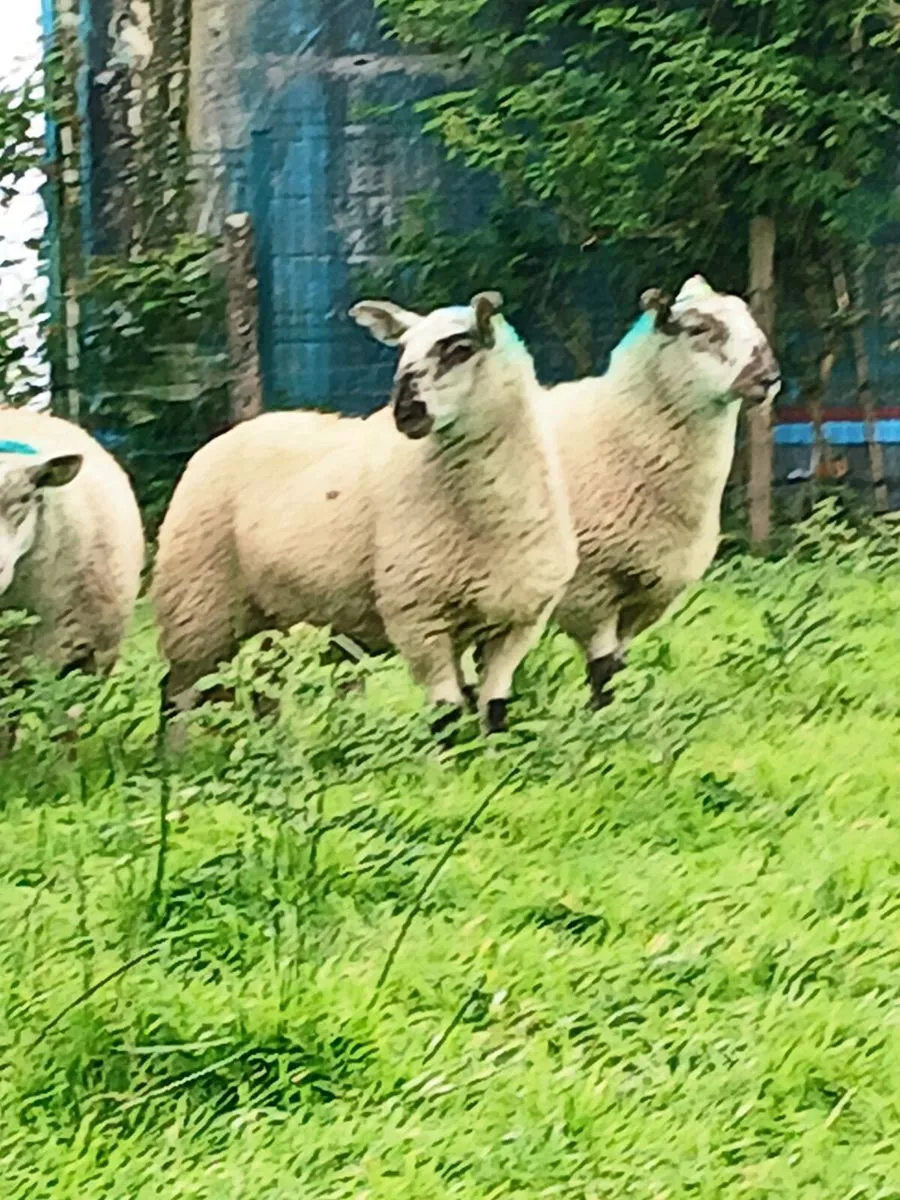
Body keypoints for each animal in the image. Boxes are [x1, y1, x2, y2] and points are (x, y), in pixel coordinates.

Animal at [151, 292, 577, 733]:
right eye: (402, 349)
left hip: (273, 616)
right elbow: (446, 715)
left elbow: (493, 711)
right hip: (197, 606)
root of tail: (230, 433)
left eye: (460, 349)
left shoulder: (519, 622)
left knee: (261, 688)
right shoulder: (418, 617)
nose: (404, 412)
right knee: (177, 692)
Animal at [543, 274, 782, 707]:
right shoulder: (588, 591)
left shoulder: (649, 595)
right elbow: (601, 672)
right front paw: (601, 718)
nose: (768, 376)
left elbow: (617, 668)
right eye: (699, 329)